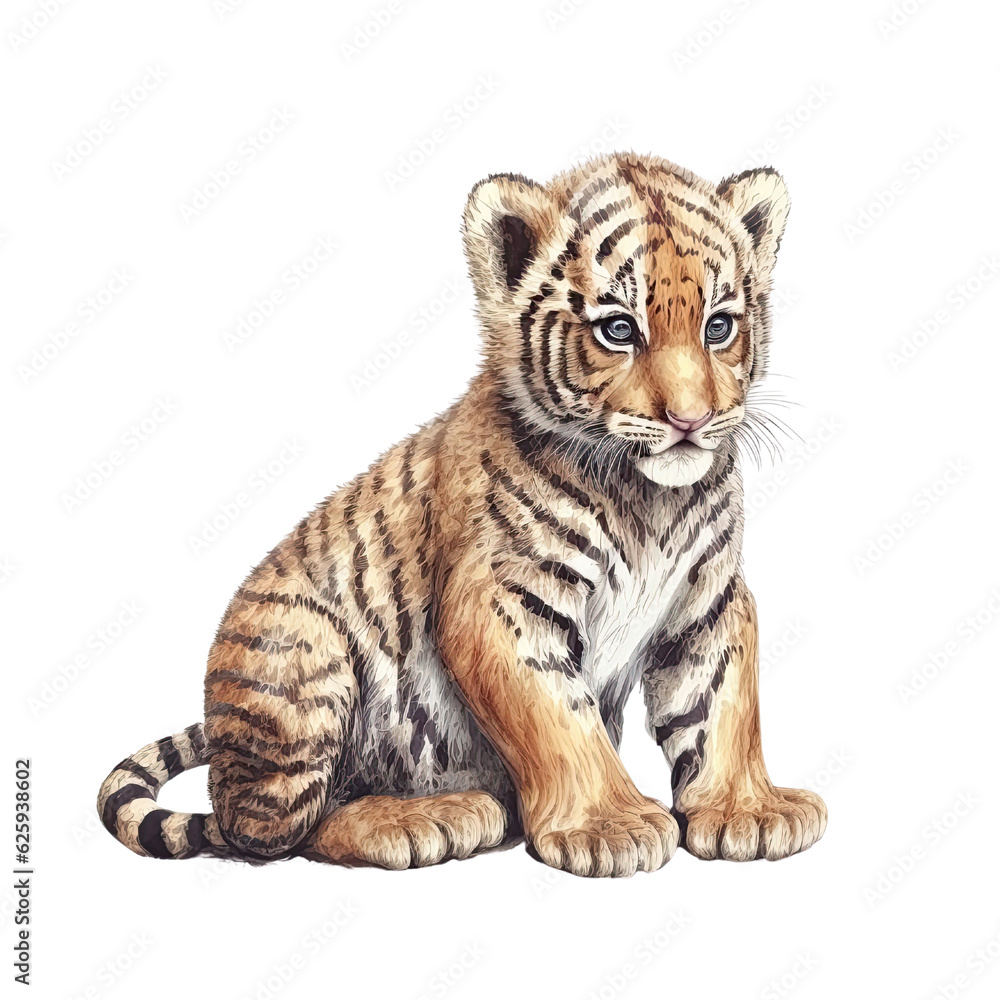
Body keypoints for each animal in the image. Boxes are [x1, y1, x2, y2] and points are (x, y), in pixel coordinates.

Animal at [97, 151, 827, 877]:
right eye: (619, 329)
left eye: (718, 326)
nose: (691, 420)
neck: (648, 496)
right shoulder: (500, 603)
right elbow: (561, 718)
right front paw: (608, 826)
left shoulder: (712, 594)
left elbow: (722, 702)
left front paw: (749, 811)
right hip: (304, 656)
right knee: (269, 833)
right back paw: (432, 816)